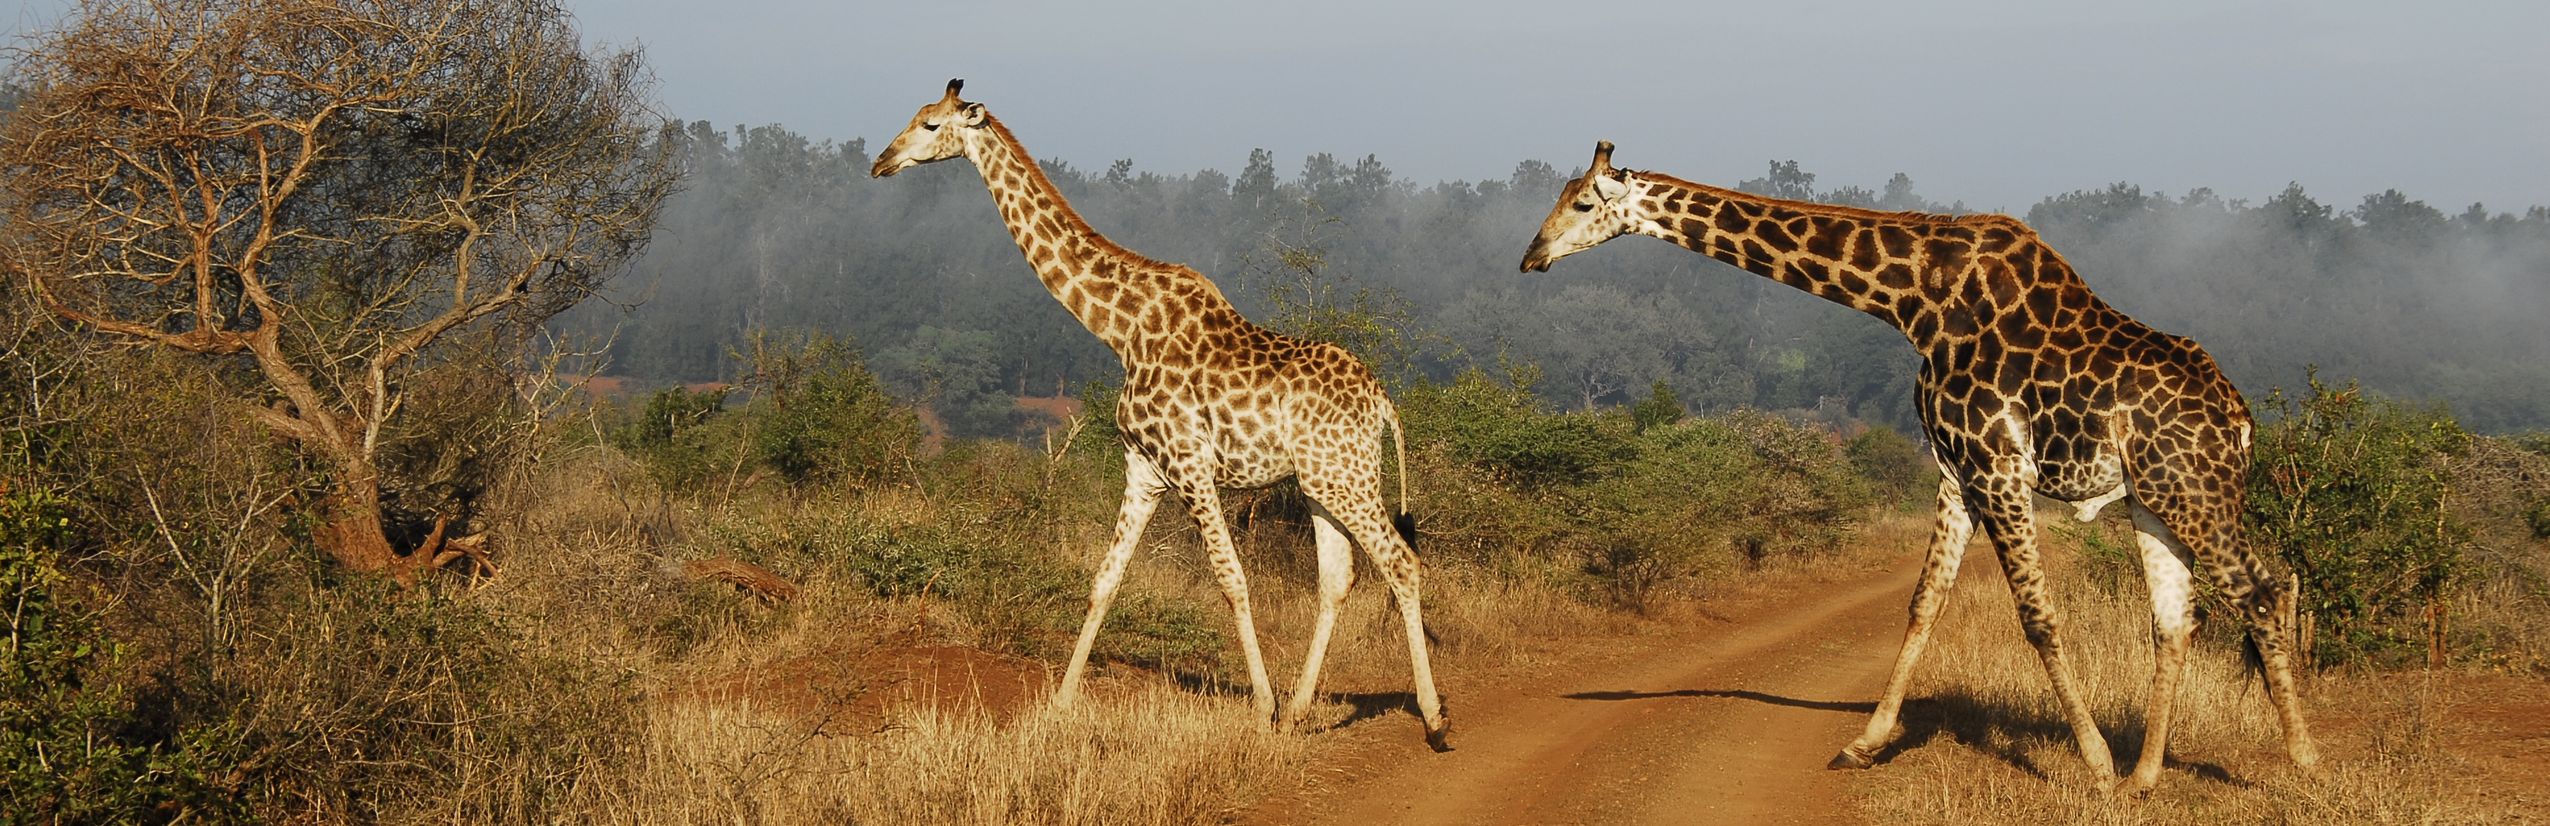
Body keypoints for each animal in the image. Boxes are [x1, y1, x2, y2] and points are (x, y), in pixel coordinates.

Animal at [867, 79, 1448, 749]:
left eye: (931, 125)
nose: (880, 162)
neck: (1119, 330)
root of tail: (1384, 403)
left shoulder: (1190, 465)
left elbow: (1231, 579)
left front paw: (1261, 707)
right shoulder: (1144, 469)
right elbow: (1105, 580)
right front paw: (1061, 703)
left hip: (1346, 479)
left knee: (1401, 563)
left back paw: (1433, 718)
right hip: (1322, 483)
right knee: (1338, 577)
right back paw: (1304, 710)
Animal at [1519, 143, 2325, 795]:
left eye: (1583, 202)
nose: (1531, 257)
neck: (1911, 299)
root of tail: (2242, 421)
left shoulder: (1997, 464)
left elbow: (2038, 615)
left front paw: (2094, 766)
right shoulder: (1956, 468)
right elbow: (1924, 601)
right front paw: (1863, 744)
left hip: (2194, 488)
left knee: (2262, 591)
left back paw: (2305, 764)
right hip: (2153, 498)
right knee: (2177, 619)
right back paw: (2148, 778)